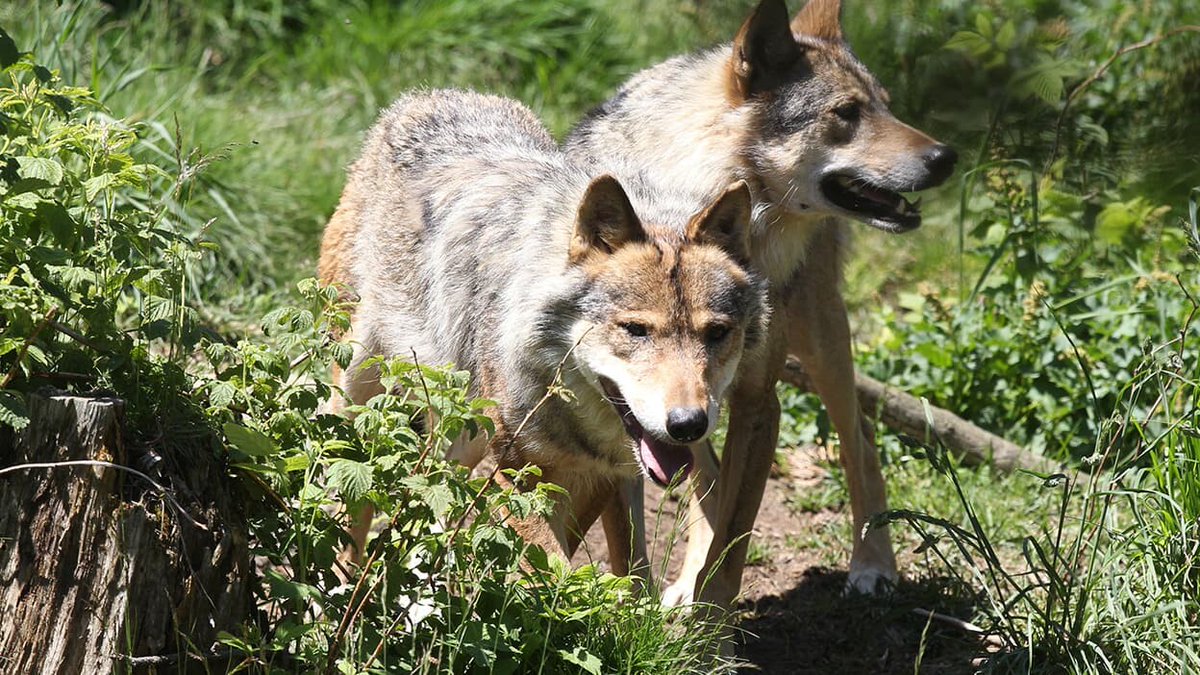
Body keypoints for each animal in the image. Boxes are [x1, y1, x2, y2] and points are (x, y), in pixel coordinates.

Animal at [318, 89, 768, 570]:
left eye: (716, 333)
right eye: (635, 330)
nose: (688, 425)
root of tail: (424, 96)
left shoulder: (605, 476)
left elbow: (606, 567)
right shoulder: (516, 473)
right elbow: (555, 568)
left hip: (464, 435)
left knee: (430, 491)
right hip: (357, 390)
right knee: (355, 503)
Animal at [566, 0, 958, 606]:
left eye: (886, 105)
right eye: (847, 112)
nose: (946, 157)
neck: (684, 201)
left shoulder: (758, 401)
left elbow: (733, 540)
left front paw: (711, 624)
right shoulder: (623, 402)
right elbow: (631, 546)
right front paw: (643, 613)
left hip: (821, 341)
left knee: (861, 441)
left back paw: (872, 564)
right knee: (707, 475)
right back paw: (684, 583)